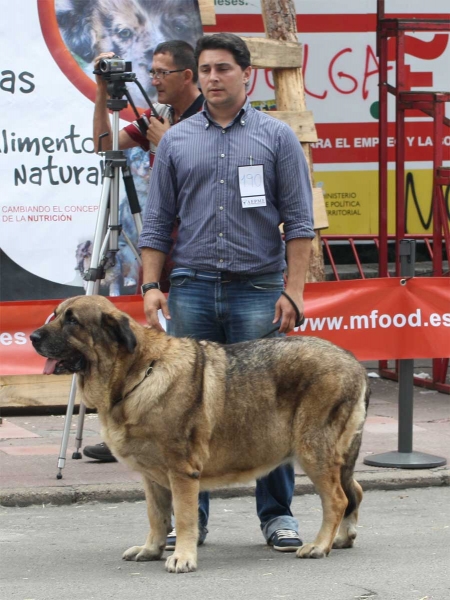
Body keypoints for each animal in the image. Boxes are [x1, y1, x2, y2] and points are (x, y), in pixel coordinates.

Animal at [30, 296, 370, 572]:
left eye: (72, 321)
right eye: (56, 314)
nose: (33, 336)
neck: (136, 375)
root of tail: (354, 362)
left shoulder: (182, 472)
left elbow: (183, 517)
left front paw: (182, 557)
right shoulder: (152, 477)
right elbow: (156, 515)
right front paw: (151, 549)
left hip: (313, 450)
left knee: (337, 499)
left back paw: (320, 545)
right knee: (354, 490)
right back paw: (342, 537)